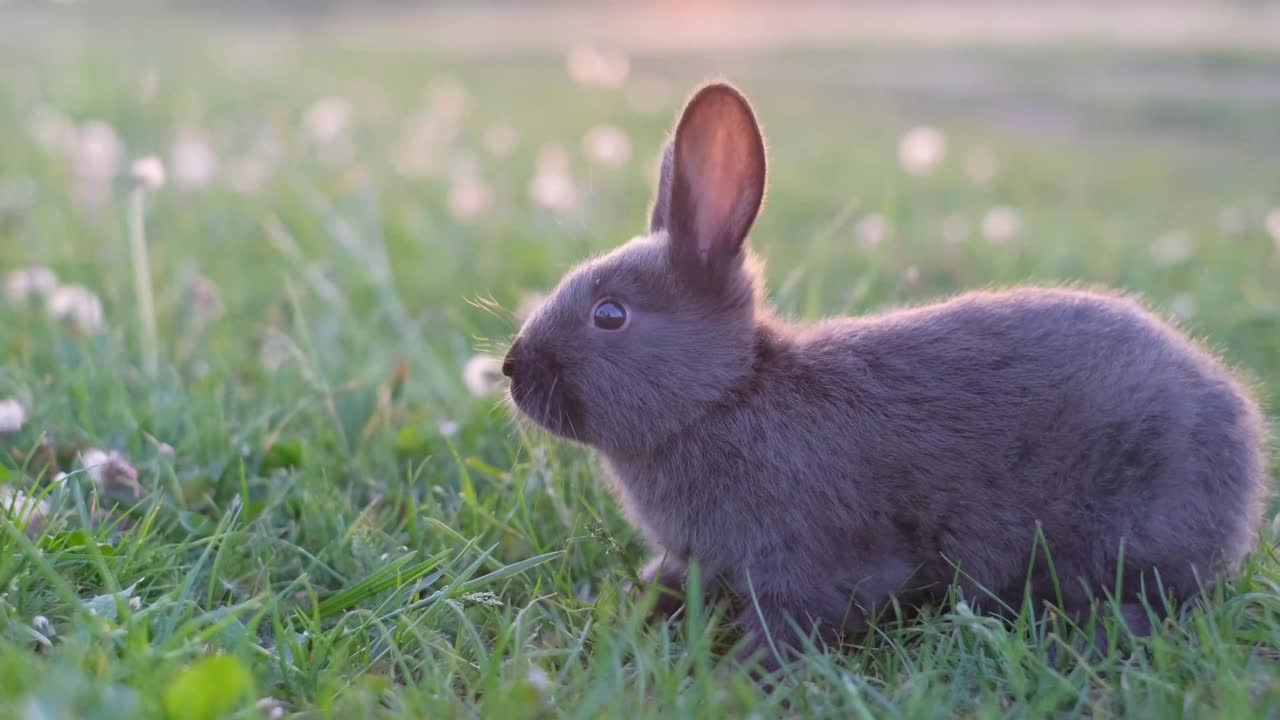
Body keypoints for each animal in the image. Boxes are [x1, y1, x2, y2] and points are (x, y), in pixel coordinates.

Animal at [499, 82, 1269, 666]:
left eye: (610, 315)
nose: (511, 369)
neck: (725, 397)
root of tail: (1241, 431)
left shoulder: (810, 561)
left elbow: (798, 620)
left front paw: (737, 677)